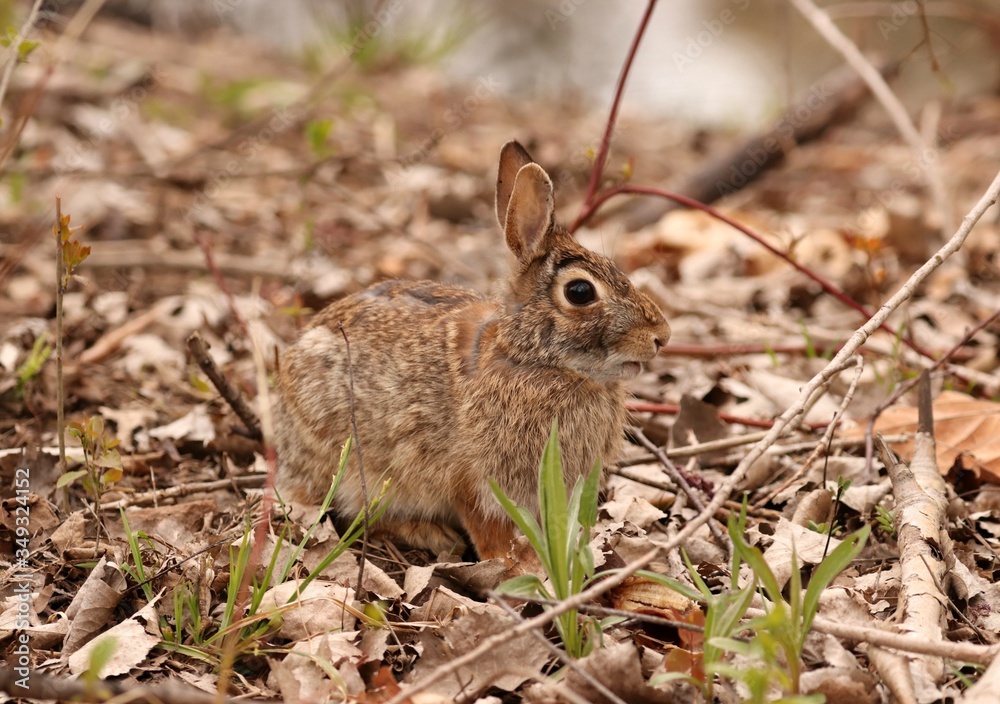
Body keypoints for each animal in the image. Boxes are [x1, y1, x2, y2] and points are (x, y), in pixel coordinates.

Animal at [274, 141, 671, 559]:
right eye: (580, 292)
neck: (530, 359)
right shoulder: (476, 481)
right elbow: (490, 528)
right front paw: (518, 564)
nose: (661, 335)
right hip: (352, 464)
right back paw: (428, 533)